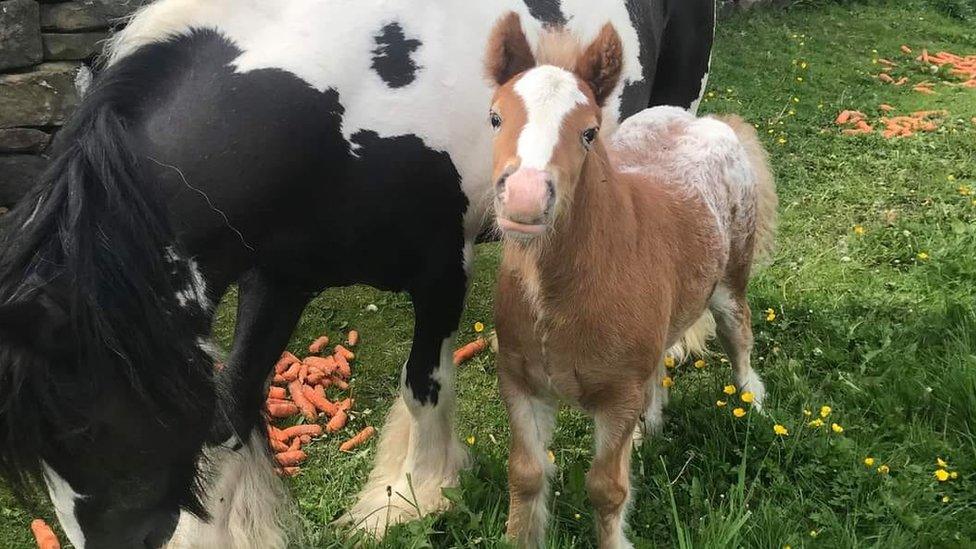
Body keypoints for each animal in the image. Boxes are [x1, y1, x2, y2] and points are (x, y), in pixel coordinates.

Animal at [0, 0, 716, 544]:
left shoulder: (441, 269)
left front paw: (409, 496)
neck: (346, 105)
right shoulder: (276, 279)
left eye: (85, 427)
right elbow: (231, 409)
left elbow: (423, 384)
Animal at [486, 12, 776, 548]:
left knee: (738, 334)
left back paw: (753, 400)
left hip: (729, 282)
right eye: (495, 118)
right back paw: (649, 426)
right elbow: (527, 475)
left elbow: (606, 490)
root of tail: (707, 122)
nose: (524, 199)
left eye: (589, 132)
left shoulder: (617, 396)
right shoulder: (520, 384)